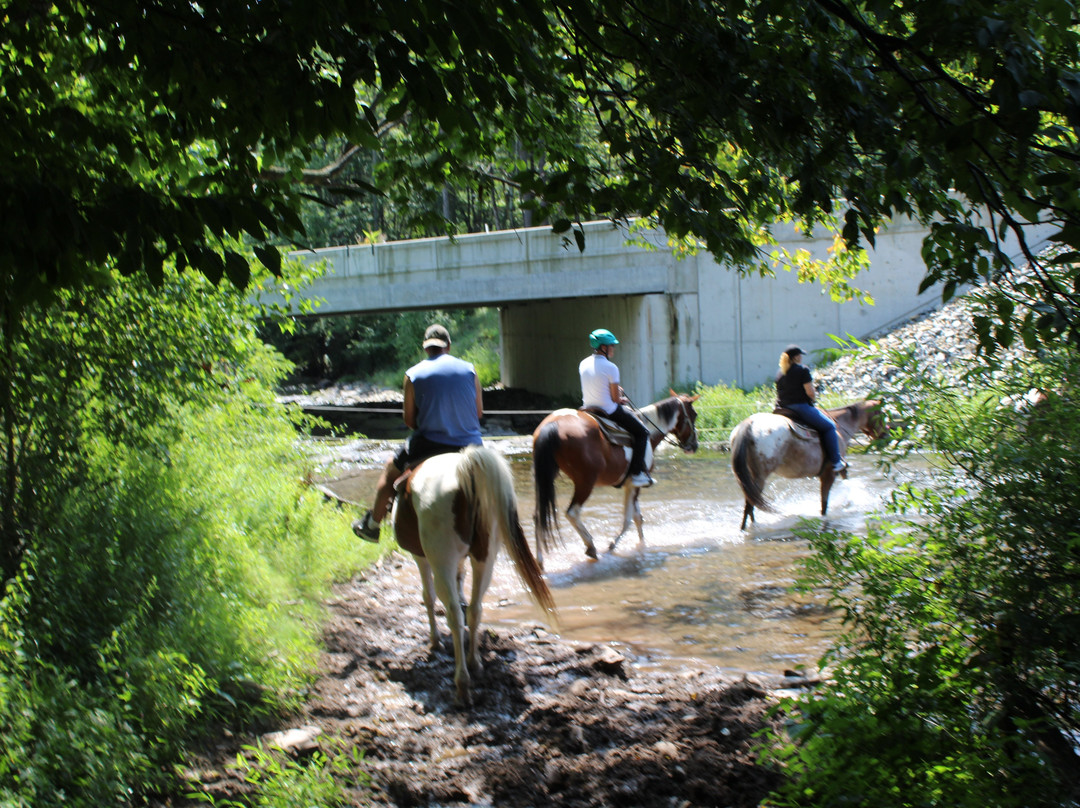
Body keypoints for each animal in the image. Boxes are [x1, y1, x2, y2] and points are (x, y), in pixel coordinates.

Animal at [390, 445, 557, 704]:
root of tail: (465, 470)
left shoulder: (421, 558)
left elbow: (428, 597)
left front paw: (435, 642)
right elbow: (462, 587)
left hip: (442, 560)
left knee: (454, 614)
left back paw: (462, 683)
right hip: (484, 559)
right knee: (475, 609)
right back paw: (475, 663)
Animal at [531, 388, 699, 566]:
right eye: (694, 414)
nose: (694, 446)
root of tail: (552, 425)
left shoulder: (631, 485)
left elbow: (637, 517)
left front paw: (641, 545)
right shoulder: (635, 483)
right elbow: (629, 519)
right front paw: (613, 545)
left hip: (544, 478)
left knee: (539, 515)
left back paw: (539, 560)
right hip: (585, 482)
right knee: (572, 512)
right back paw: (591, 546)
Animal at [725, 399, 885, 529]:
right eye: (882, 414)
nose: (886, 434)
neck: (840, 427)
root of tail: (748, 425)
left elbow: (846, 480)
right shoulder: (830, 472)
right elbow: (824, 504)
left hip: (749, 476)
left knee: (751, 502)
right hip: (760, 476)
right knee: (750, 504)